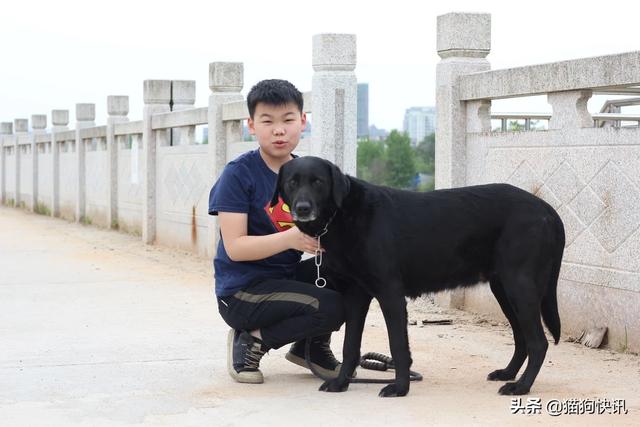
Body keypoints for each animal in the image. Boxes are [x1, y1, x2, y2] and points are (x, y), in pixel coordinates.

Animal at [270, 156, 564, 398]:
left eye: (318, 182)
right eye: (292, 182)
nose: (302, 208)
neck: (343, 215)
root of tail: (547, 209)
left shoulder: (391, 294)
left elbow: (398, 345)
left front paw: (400, 388)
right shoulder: (355, 296)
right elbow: (350, 346)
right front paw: (341, 383)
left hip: (519, 286)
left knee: (538, 342)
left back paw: (521, 386)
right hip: (503, 289)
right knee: (522, 338)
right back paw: (508, 374)